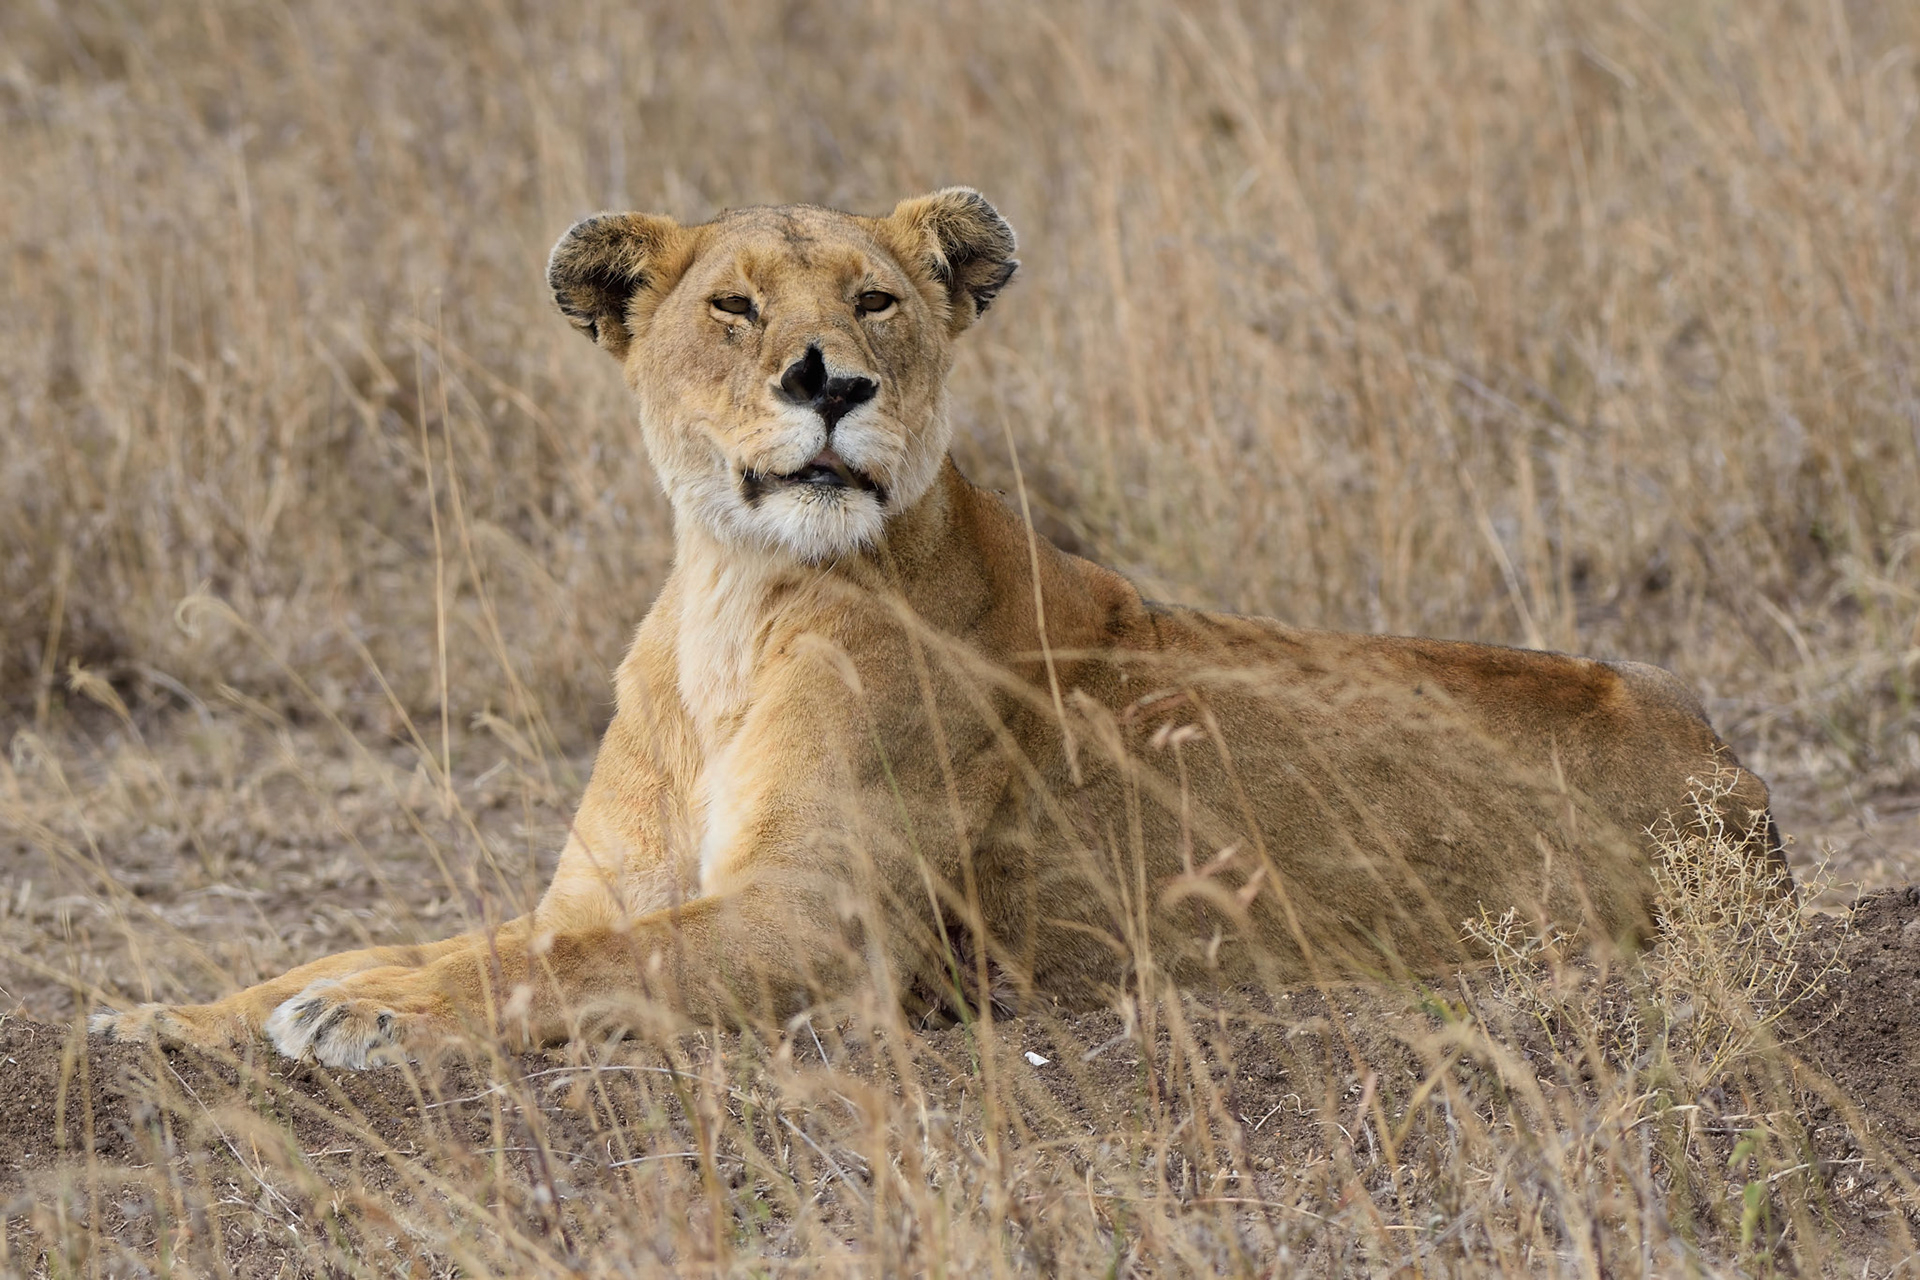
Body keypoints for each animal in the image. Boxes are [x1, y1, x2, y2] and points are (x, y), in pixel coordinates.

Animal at [91, 188, 1787, 1068]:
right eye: (732, 307)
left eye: (877, 300)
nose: (827, 382)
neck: (734, 603)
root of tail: (1743, 780)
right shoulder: (611, 886)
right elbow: (427, 933)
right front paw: (163, 1011)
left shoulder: (820, 931)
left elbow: (549, 973)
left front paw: (360, 1022)